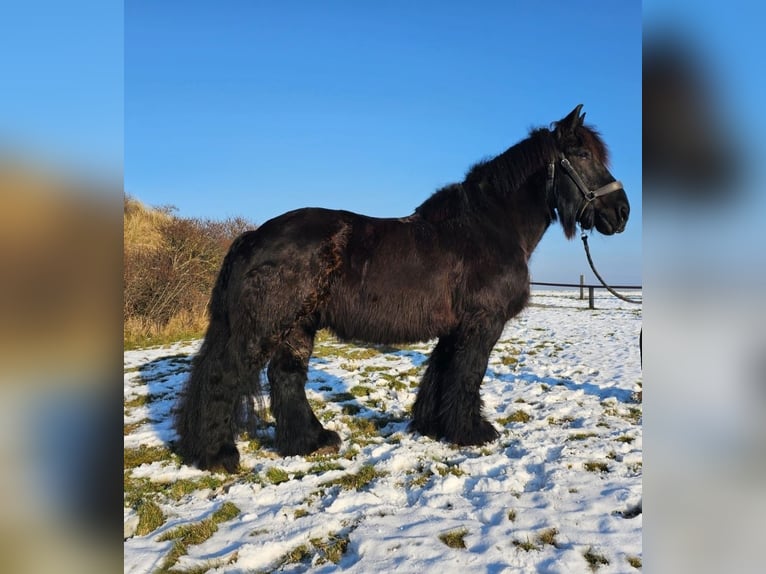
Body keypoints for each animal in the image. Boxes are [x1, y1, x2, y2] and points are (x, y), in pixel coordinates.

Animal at [177, 106, 632, 474]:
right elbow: (469, 375)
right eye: (582, 155)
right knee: (225, 375)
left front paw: (433, 426)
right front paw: (472, 432)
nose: (622, 212)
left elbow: (442, 373)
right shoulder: (482, 323)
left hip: (298, 326)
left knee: (286, 377)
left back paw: (310, 441)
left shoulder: (456, 327)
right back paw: (218, 454)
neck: (489, 227)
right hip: (265, 327)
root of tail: (253, 236)